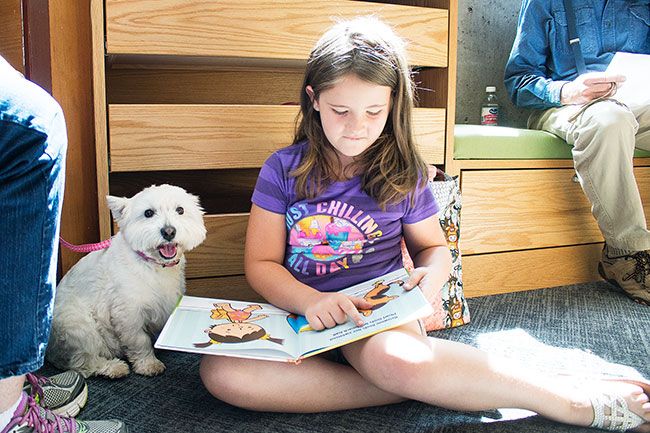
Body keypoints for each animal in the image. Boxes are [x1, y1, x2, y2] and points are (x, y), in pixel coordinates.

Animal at [46, 184, 205, 376]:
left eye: (180, 210)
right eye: (148, 213)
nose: (169, 231)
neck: (154, 266)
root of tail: (50, 353)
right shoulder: (128, 313)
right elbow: (139, 340)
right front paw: (148, 364)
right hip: (78, 327)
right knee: (84, 362)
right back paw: (114, 367)